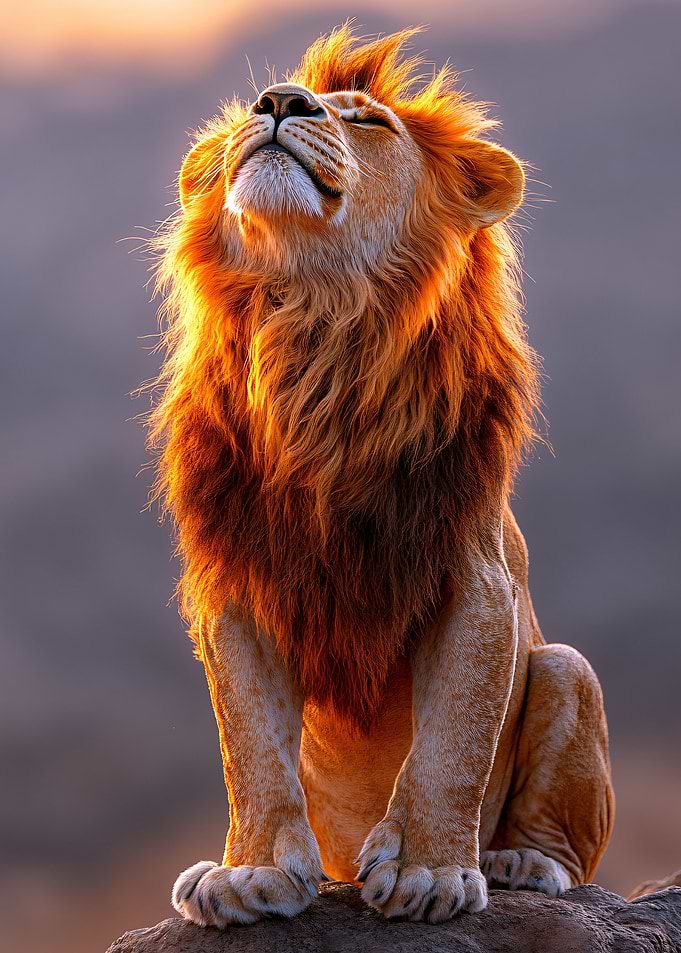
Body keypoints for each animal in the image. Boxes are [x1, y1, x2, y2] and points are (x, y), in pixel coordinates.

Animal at [146, 26, 614, 926]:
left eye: (369, 122)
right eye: (259, 102)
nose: (278, 100)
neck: (316, 328)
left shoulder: (477, 578)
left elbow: (452, 741)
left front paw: (429, 870)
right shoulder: (235, 587)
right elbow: (249, 746)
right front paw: (250, 872)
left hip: (567, 669)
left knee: (564, 834)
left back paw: (517, 862)